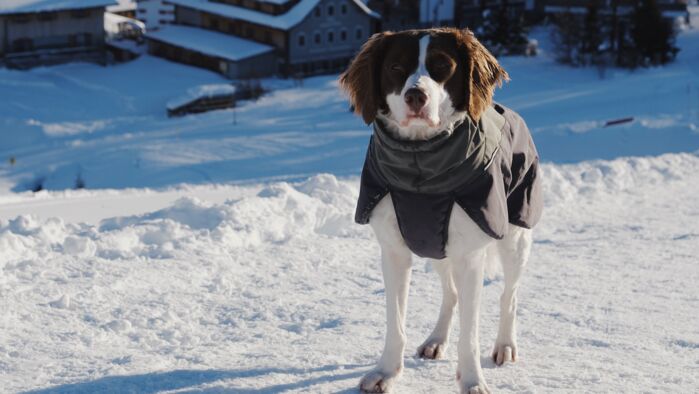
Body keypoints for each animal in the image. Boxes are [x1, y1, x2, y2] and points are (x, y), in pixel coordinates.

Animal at [342, 28, 544, 394]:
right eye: (395, 67)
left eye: (442, 67)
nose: (416, 96)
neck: (421, 165)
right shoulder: (394, 250)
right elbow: (395, 323)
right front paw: (387, 372)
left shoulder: (470, 254)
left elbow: (471, 334)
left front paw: (473, 381)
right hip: (435, 246)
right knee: (451, 294)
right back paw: (436, 339)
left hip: (515, 236)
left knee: (509, 295)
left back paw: (505, 345)